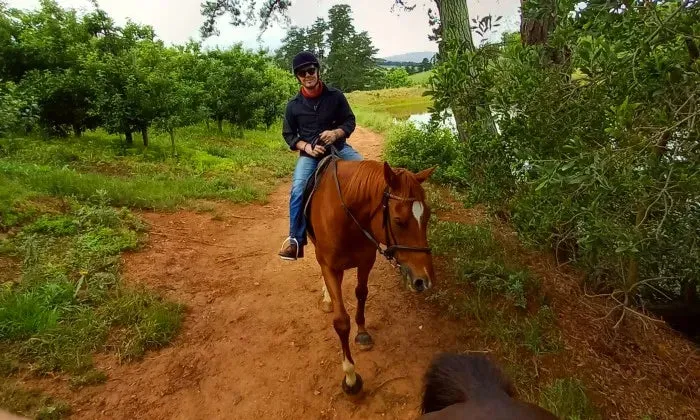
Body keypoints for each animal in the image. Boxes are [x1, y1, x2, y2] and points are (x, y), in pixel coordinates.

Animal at [304, 153, 434, 396]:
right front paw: (350, 378)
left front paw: (362, 333)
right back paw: (327, 298)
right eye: (398, 221)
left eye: (428, 216)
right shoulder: (330, 267)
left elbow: (362, 293)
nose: (424, 280)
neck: (346, 217)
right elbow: (341, 321)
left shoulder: (366, 262)